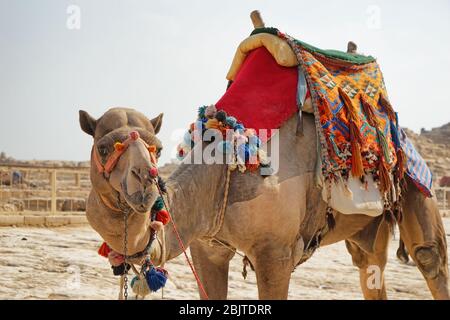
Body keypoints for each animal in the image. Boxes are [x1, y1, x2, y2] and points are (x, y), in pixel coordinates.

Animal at [79, 105, 448, 300]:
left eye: (156, 148)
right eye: (104, 147)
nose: (144, 182)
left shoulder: (276, 254)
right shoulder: (206, 247)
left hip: (415, 182)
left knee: (428, 257)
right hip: (366, 225)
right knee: (369, 263)